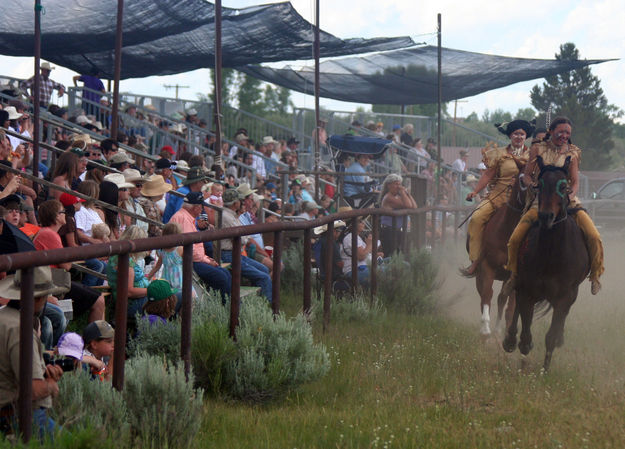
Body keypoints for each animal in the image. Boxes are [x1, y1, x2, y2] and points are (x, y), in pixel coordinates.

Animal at [464, 163, 528, 334]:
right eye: (522, 179)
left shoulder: (515, 277)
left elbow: (509, 305)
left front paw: (505, 330)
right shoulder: (487, 267)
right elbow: (487, 294)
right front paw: (485, 328)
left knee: (503, 300)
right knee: (486, 294)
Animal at [502, 156, 588, 370]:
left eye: (563, 186)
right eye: (538, 185)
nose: (545, 216)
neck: (552, 255)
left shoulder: (566, 296)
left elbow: (551, 335)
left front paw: (545, 369)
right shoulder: (527, 290)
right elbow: (525, 328)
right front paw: (522, 350)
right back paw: (510, 341)